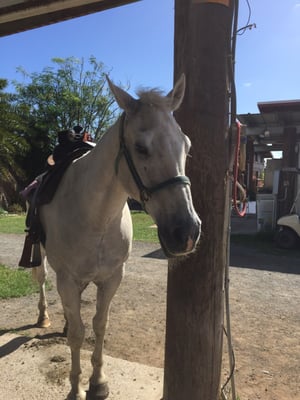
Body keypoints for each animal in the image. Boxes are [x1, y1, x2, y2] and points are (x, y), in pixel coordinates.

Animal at [37, 74, 200, 396]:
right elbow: (78, 334)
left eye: (186, 145)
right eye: (140, 147)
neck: (96, 218)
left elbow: (99, 325)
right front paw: (76, 388)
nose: (187, 231)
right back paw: (43, 316)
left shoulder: (112, 278)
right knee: (41, 280)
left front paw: (98, 382)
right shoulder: (68, 278)